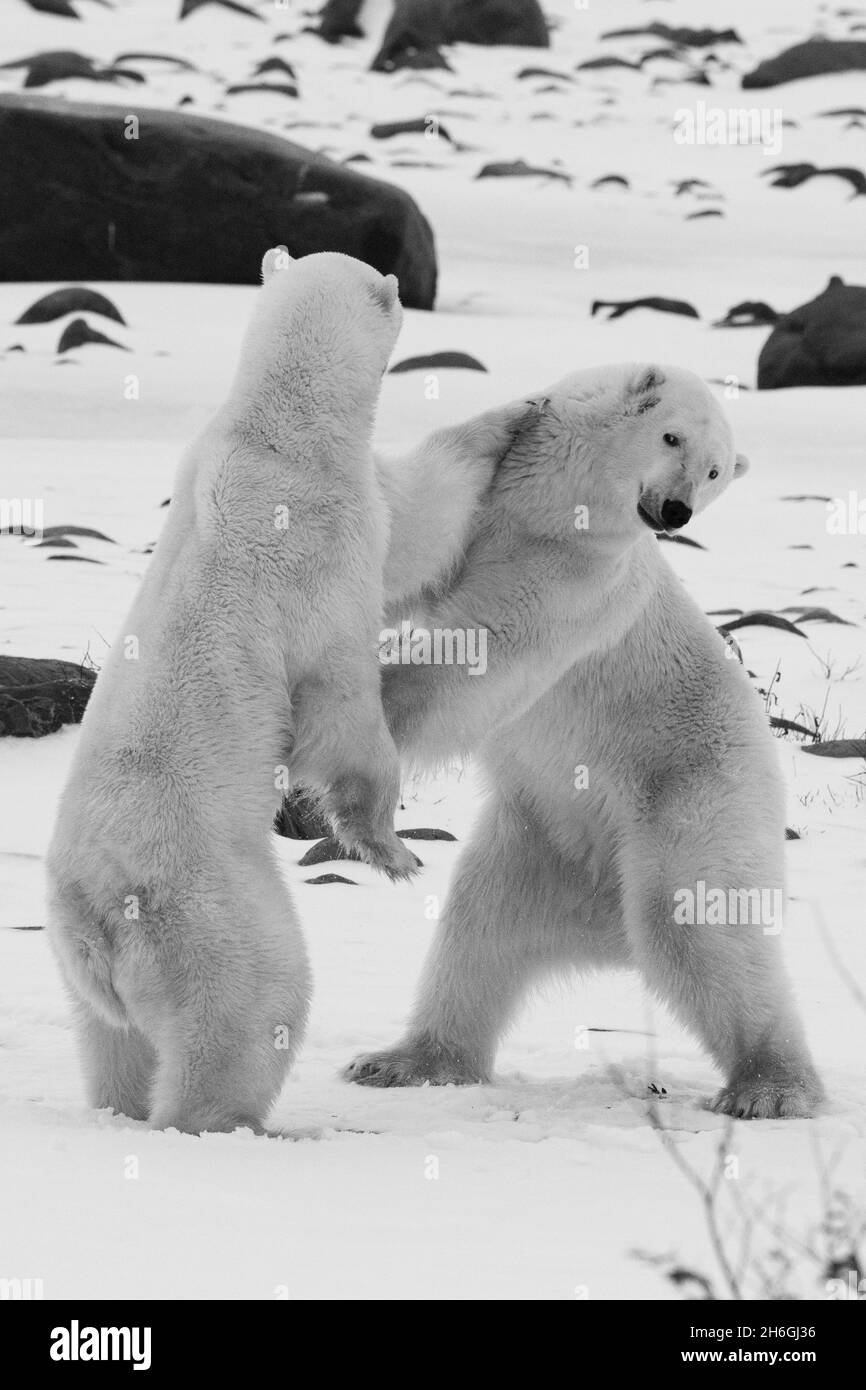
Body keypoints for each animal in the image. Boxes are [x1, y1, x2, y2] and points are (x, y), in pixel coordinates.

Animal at [46, 250, 428, 1134]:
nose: (408, 295)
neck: (276, 437)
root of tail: (96, 919)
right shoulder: (330, 556)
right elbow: (341, 709)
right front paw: (394, 853)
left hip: (79, 962)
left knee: (113, 1043)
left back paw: (121, 1106)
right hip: (205, 904)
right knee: (257, 1000)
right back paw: (240, 1121)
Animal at [353, 361, 828, 1117]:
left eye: (716, 471)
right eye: (671, 437)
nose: (677, 510)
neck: (548, 515)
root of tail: (606, 924)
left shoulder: (583, 586)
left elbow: (482, 660)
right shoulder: (498, 516)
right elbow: (404, 543)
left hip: (693, 793)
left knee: (693, 926)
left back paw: (771, 1088)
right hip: (541, 837)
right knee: (479, 931)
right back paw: (407, 1061)